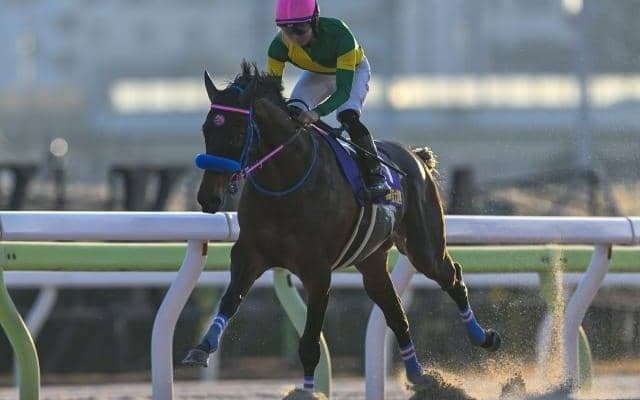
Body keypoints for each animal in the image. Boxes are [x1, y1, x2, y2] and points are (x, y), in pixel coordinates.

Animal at [183, 62, 500, 394]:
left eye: (237, 132)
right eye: (206, 130)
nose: (208, 197)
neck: (285, 181)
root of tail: (416, 157)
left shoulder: (317, 271)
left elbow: (310, 344)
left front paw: (308, 392)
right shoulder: (250, 252)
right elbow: (230, 300)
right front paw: (201, 348)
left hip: (424, 247)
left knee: (452, 277)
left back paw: (483, 337)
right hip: (372, 262)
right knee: (396, 313)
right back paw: (419, 376)